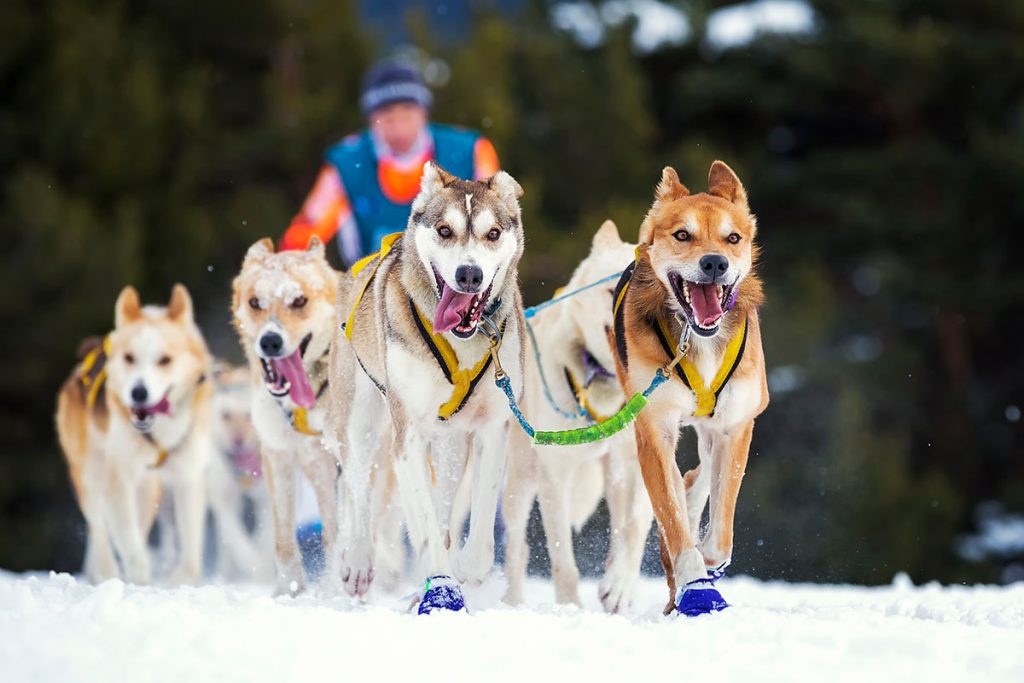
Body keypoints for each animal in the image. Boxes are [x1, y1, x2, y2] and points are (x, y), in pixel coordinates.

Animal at [55, 286, 214, 585]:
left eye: (165, 360)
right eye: (129, 358)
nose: (138, 393)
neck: (159, 435)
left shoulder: (188, 476)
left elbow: (190, 549)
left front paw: (183, 581)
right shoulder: (118, 479)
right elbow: (130, 547)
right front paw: (138, 583)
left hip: (148, 490)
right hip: (90, 474)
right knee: (100, 529)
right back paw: (106, 574)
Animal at [232, 237, 344, 593]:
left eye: (299, 300)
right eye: (255, 302)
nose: (270, 341)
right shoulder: (283, 453)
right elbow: (284, 540)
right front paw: (290, 591)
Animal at [606, 162, 770, 618]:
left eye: (733, 238)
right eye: (683, 235)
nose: (714, 263)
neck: (696, 338)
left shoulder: (737, 426)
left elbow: (721, 529)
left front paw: (708, 562)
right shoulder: (654, 429)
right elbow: (674, 520)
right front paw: (693, 580)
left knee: (701, 475)